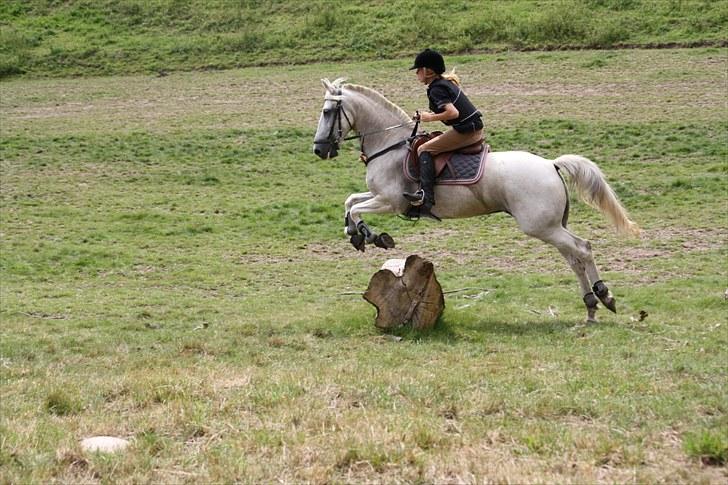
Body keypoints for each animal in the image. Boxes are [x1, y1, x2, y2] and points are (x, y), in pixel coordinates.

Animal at [312, 78, 636, 322]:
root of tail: (550, 164)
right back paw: (591, 305)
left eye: (327, 112)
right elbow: (350, 201)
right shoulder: (380, 196)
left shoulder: (391, 201)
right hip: (552, 226)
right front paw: (356, 233)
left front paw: (368, 235)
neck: (389, 145)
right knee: (573, 257)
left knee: (582, 249)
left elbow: (356, 208)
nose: (319, 150)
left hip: (540, 226)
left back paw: (604, 295)